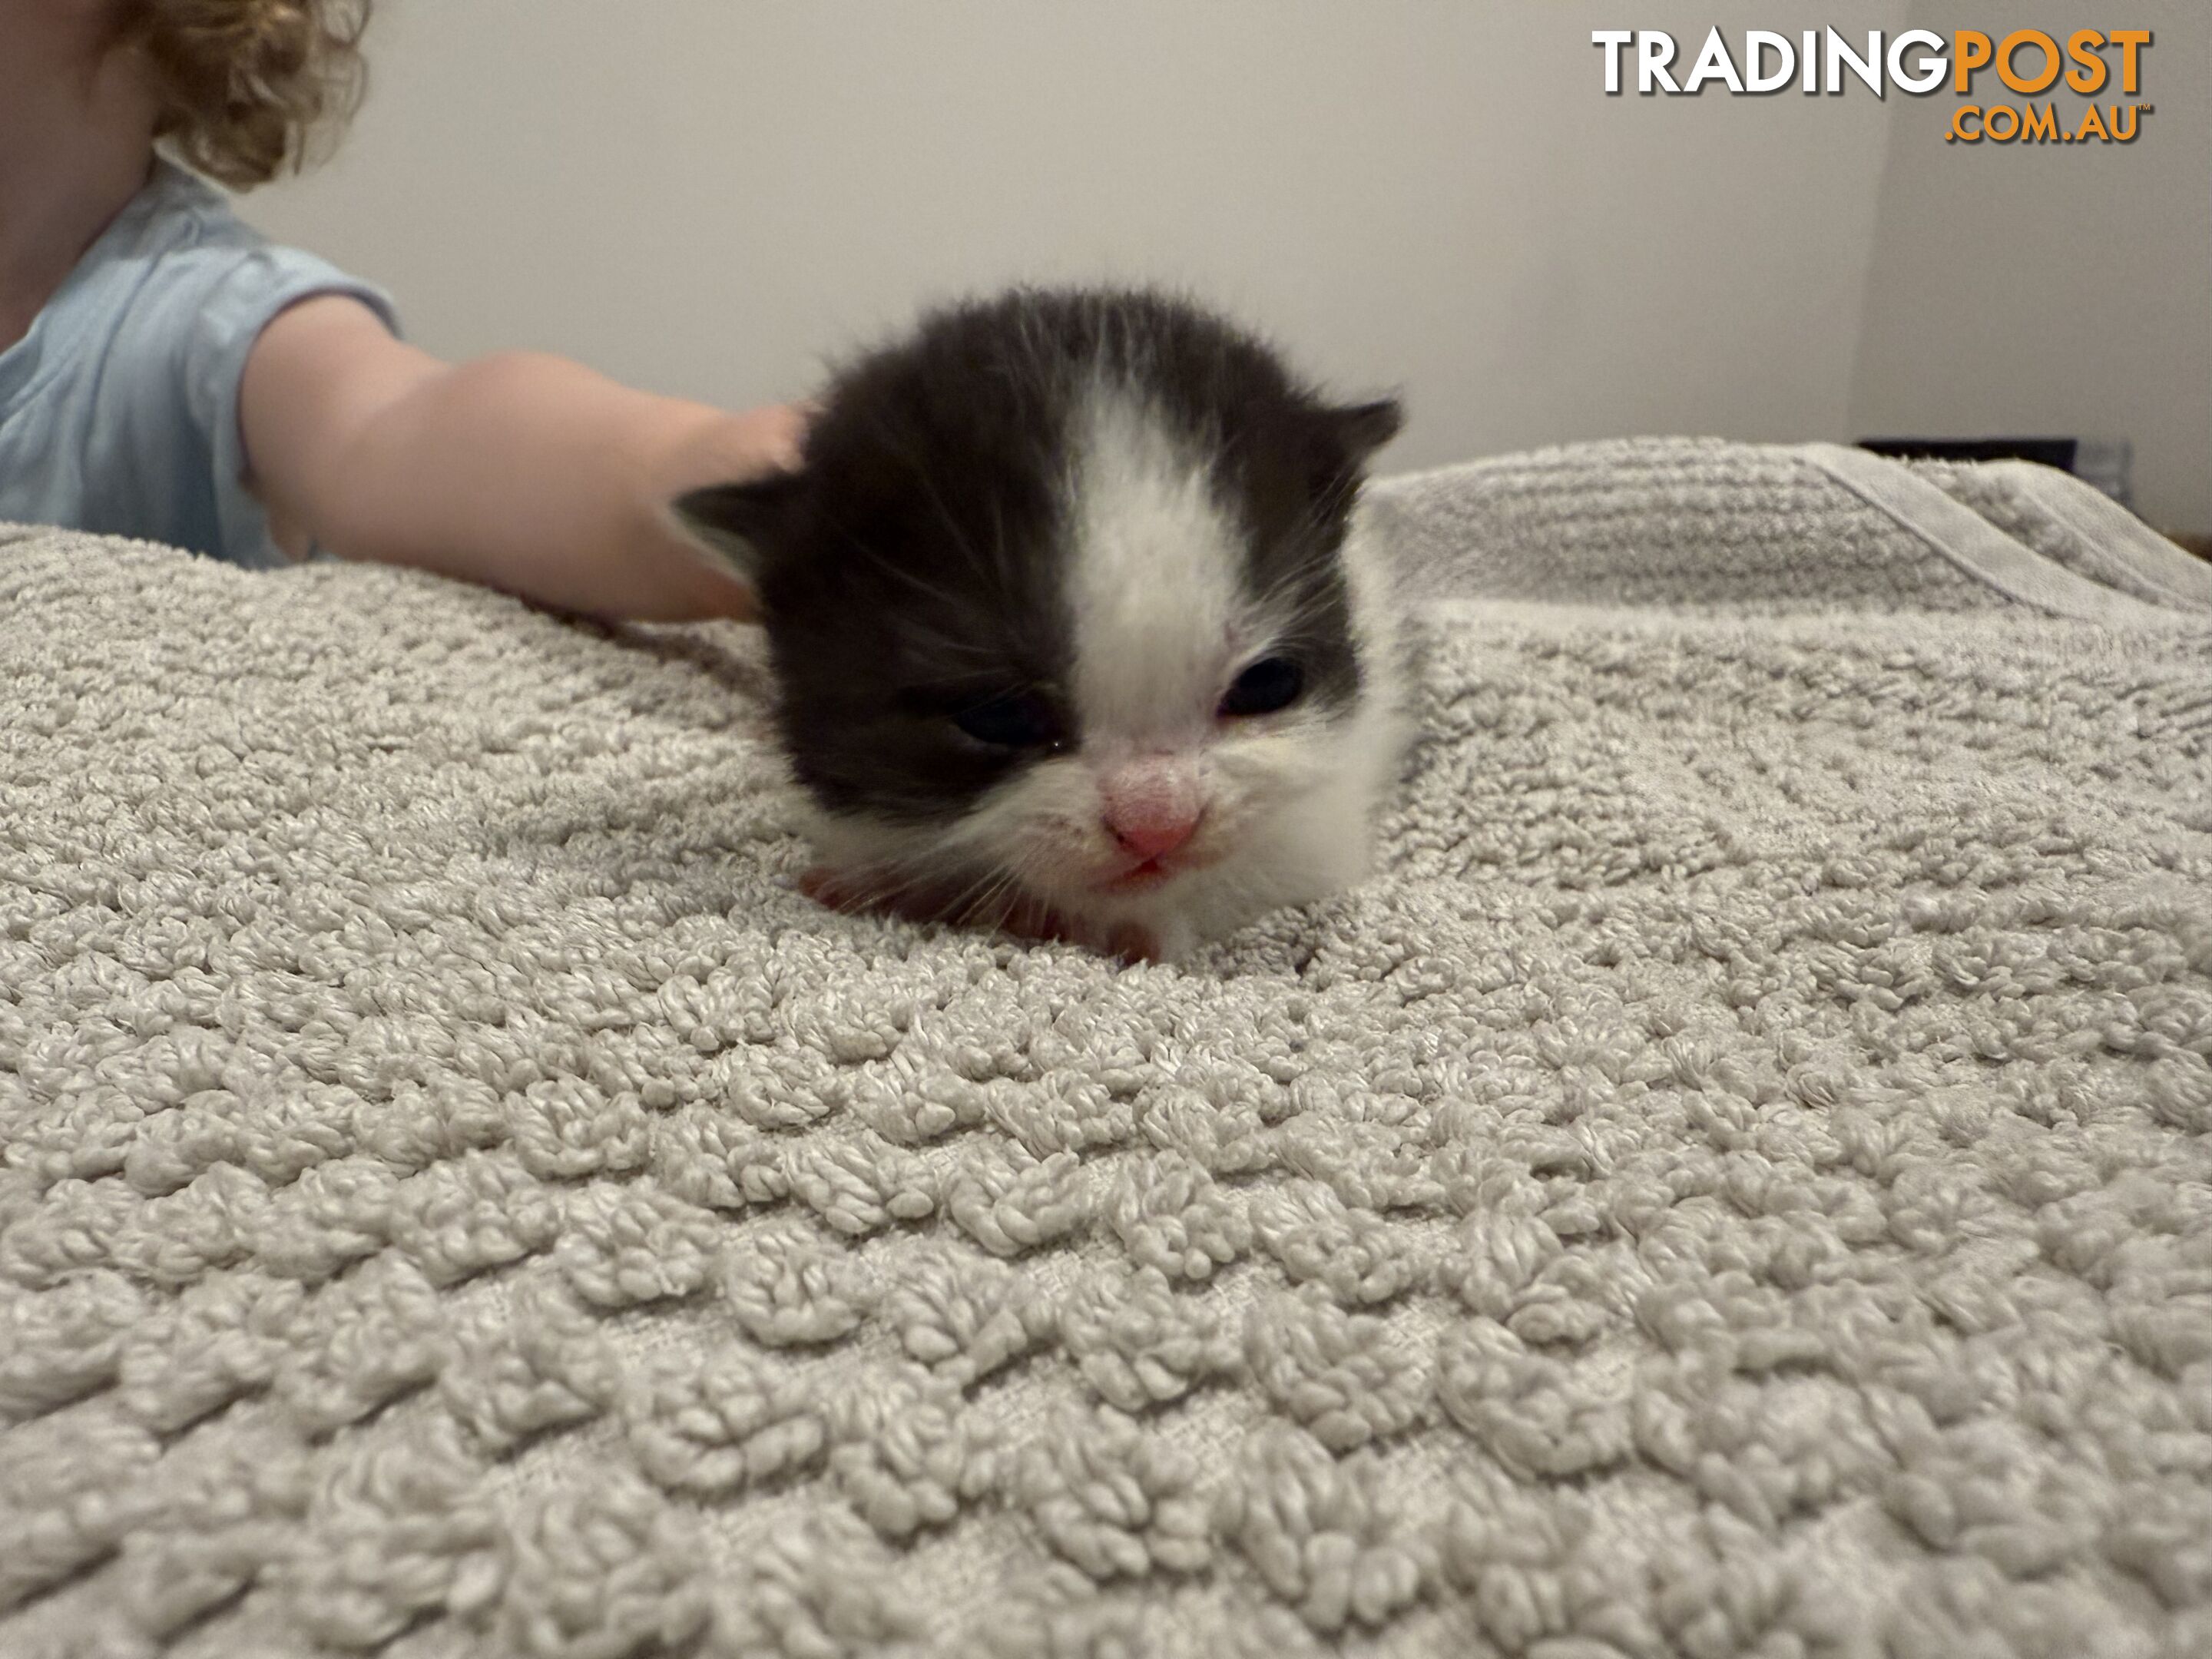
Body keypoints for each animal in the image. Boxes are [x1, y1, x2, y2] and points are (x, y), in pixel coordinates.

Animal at [672, 287, 1406, 959]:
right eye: (997, 714)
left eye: (1268, 684)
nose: (1158, 824)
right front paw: (898, 881)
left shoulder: (1321, 821)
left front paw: (1092, 922)